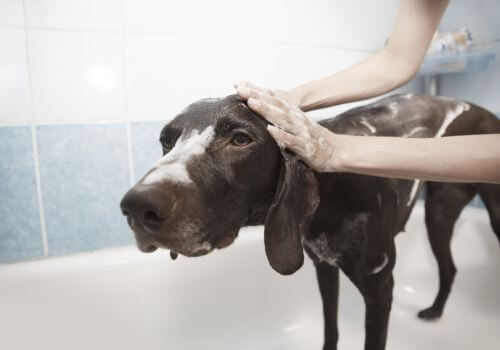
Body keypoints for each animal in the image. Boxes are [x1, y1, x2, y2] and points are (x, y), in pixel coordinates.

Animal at [121, 94, 500, 348]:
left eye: (240, 139)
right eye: (166, 141)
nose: (136, 207)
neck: (334, 192)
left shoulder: (380, 289)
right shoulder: (324, 268)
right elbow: (330, 327)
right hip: (439, 214)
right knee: (449, 268)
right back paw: (435, 310)